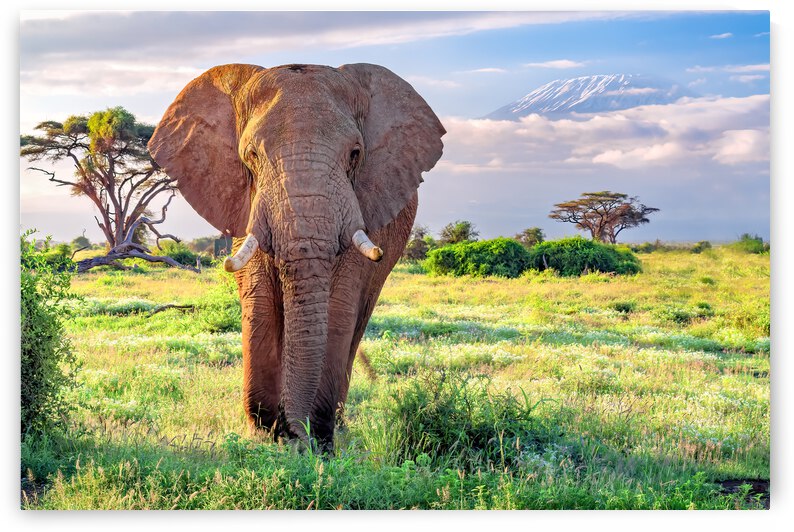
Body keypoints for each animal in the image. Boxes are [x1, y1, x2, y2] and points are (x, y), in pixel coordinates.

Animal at [148, 63, 445, 451]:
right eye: (252, 156)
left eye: (355, 154)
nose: (297, 434)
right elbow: (259, 298)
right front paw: (264, 432)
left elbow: (338, 305)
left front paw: (316, 437)